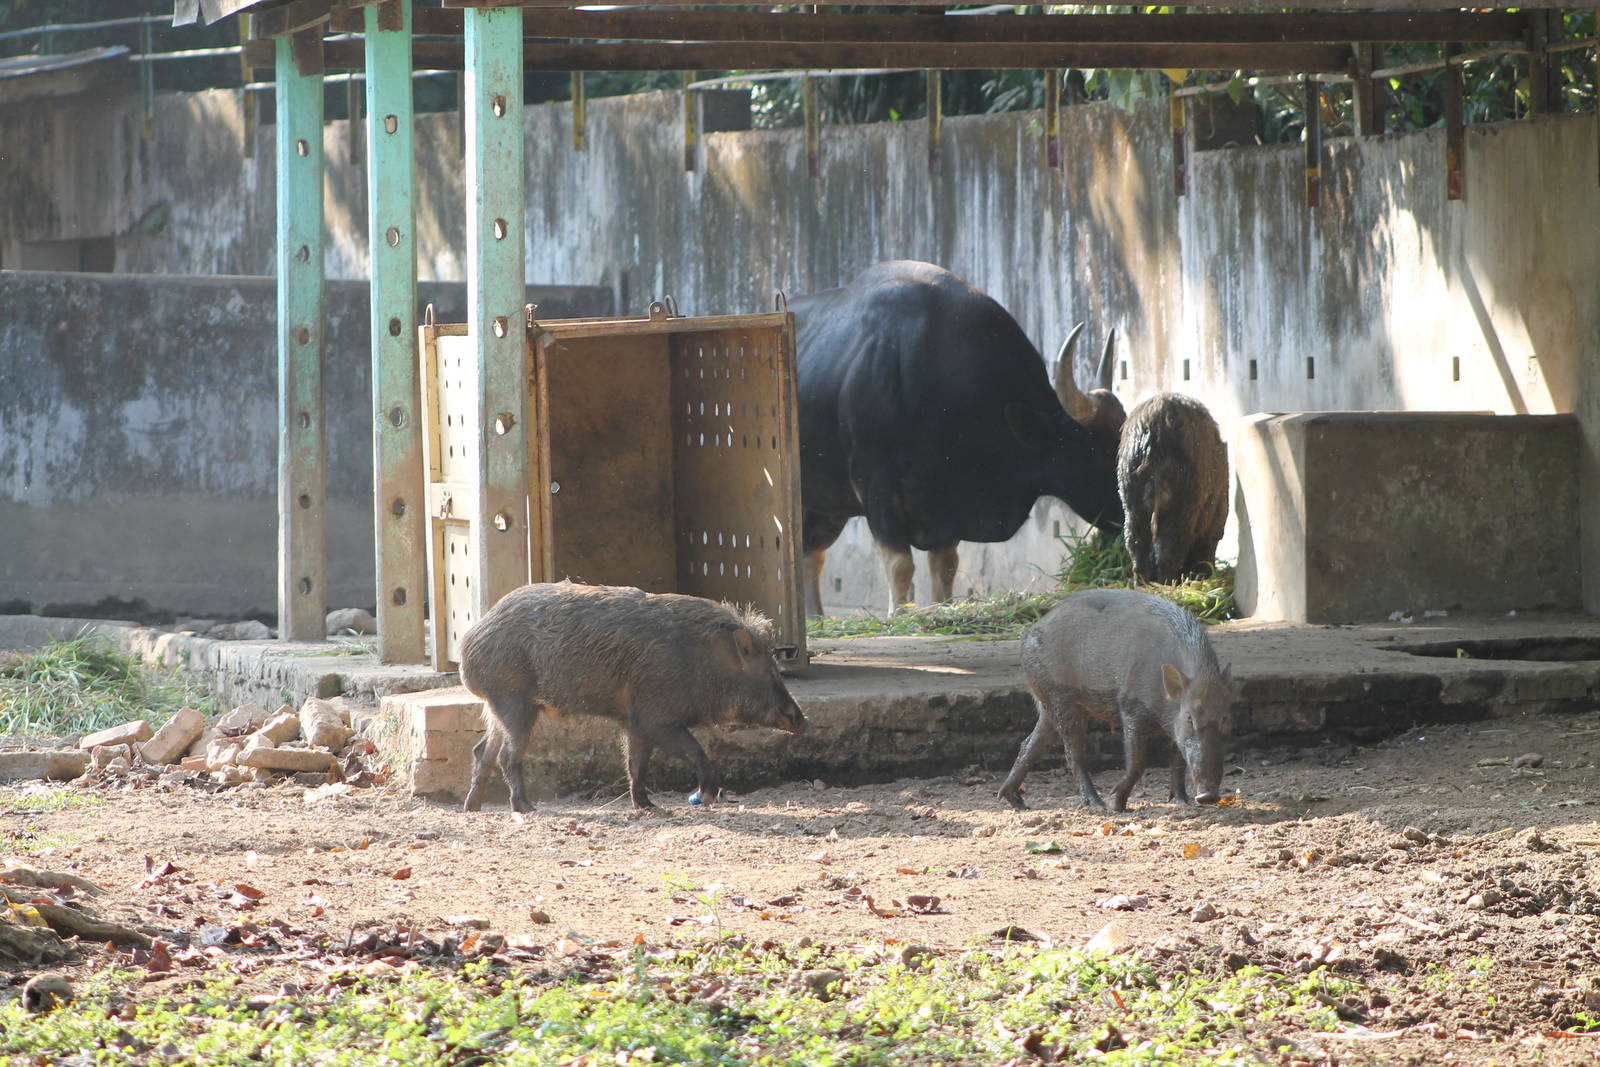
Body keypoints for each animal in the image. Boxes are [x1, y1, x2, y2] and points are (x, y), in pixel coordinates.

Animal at [459, 582, 808, 813]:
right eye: (768, 672)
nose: (803, 720)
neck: (700, 660)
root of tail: (469, 641)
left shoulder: (635, 723)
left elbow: (636, 764)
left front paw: (647, 806)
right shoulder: (656, 719)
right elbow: (695, 752)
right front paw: (703, 795)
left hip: (499, 705)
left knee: (482, 751)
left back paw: (472, 808)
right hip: (514, 700)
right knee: (506, 755)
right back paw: (526, 808)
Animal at [997, 589, 1232, 812]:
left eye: (1224, 718)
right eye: (1190, 717)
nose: (1208, 796)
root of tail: (1028, 633)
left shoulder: (1173, 726)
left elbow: (1178, 762)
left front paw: (1184, 803)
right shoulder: (1131, 708)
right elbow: (1138, 762)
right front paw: (1116, 804)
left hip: (1049, 702)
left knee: (1031, 744)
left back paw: (1016, 802)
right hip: (1060, 699)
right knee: (1073, 755)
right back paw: (1098, 804)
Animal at [1117, 393, 1228, 584]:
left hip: (1132, 500)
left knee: (1137, 543)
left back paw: (1142, 583)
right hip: (1185, 504)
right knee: (1170, 547)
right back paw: (1169, 582)